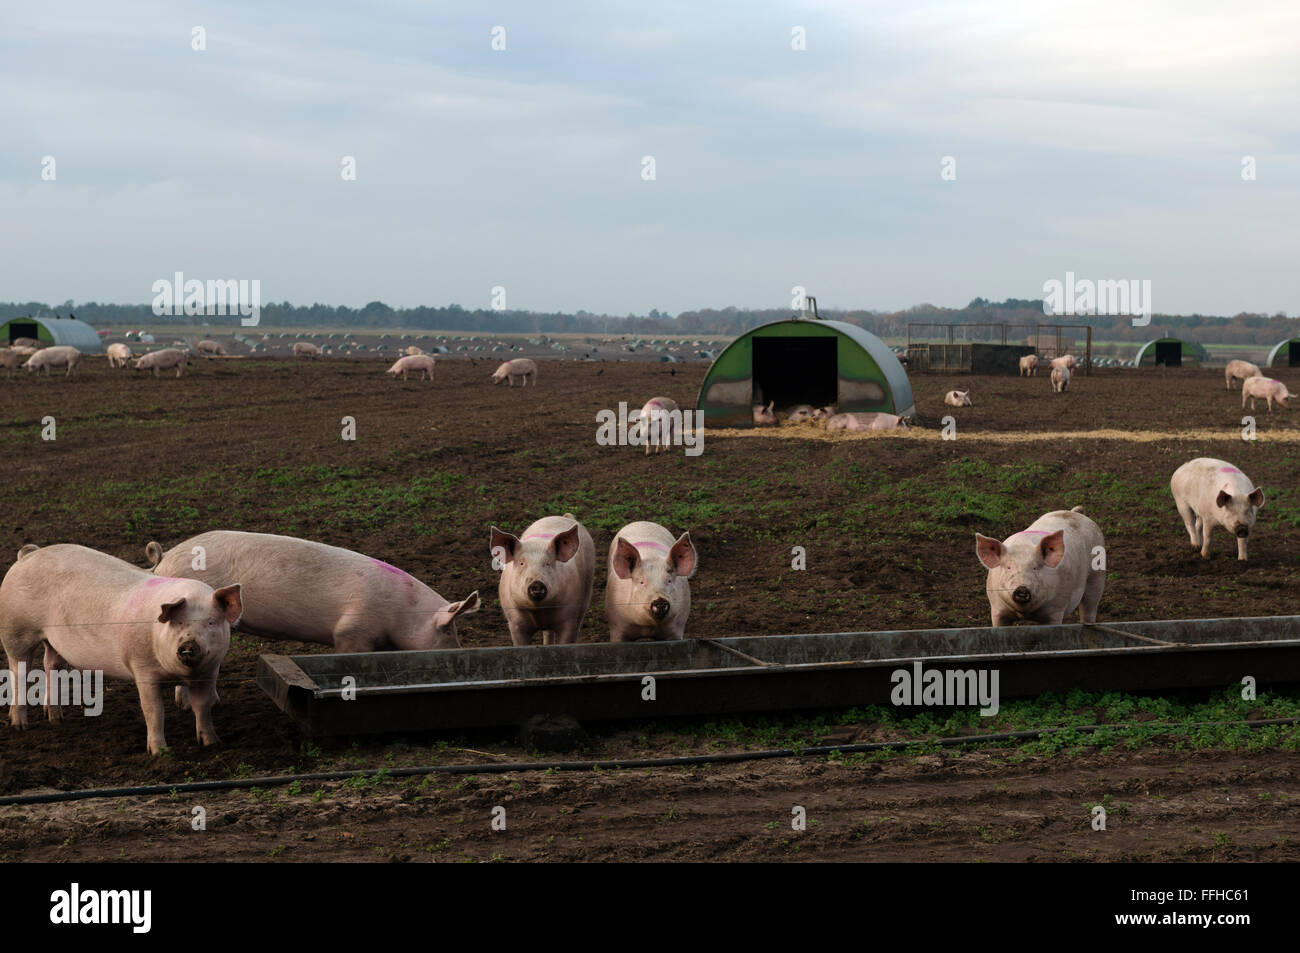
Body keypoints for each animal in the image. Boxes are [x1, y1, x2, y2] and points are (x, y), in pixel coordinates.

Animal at [0, 543, 243, 748]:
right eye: (179, 622)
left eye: (211, 622)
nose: (188, 645)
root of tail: (27, 555)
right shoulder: (142, 668)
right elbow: (154, 712)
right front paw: (160, 752)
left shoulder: (209, 671)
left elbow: (202, 707)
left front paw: (212, 743)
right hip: (15, 632)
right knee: (19, 672)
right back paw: (20, 725)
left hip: (53, 642)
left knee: (51, 665)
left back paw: (56, 719)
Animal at [977, 501, 1107, 629]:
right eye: (1009, 567)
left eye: (1035, 567)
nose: (1022, 589)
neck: (1025, 613)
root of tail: (1075, 513)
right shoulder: (996, 608)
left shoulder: (1056, 610)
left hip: (1096, 576)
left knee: (1090, 605)